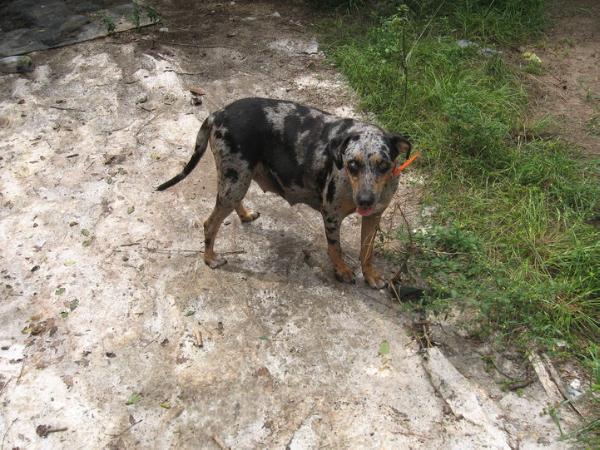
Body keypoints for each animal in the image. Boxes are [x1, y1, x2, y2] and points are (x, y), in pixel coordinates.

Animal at [157, 97, 412, 290]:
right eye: (352, 164)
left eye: (383, 165)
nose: (365, 200)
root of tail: (219, 113)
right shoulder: (331, 214)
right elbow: (335, 248)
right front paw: (342, 270)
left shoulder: (373, 217)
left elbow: (367, 252)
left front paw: (371, 275)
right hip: (235, 181)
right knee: (210, 224)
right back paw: (210, 259)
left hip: (238, 179)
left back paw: (245, 215)